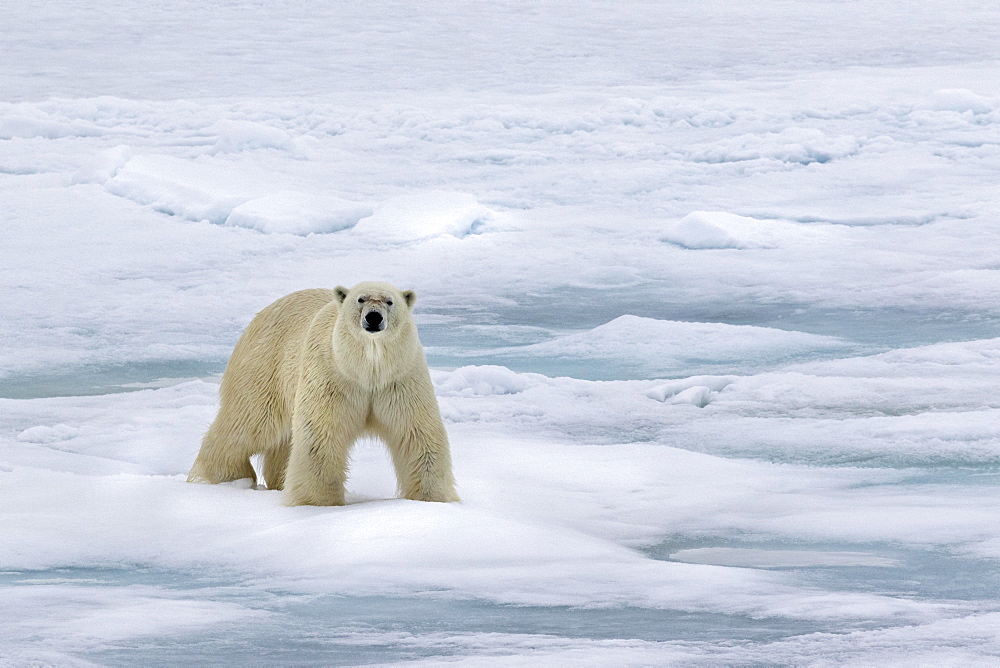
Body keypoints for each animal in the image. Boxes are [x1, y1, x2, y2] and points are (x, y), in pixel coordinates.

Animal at [188, 282, 460, 506]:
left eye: (390, 301)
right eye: (360, 299)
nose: (373, 317)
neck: (367, 371)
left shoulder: (399, 379)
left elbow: (416, 432)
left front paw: (433, 498)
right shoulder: (332, 374)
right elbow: (321, 433)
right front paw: (317, 502)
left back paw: (278, 481)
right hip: (265, 364)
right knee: (249, 422)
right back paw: (220, 477)